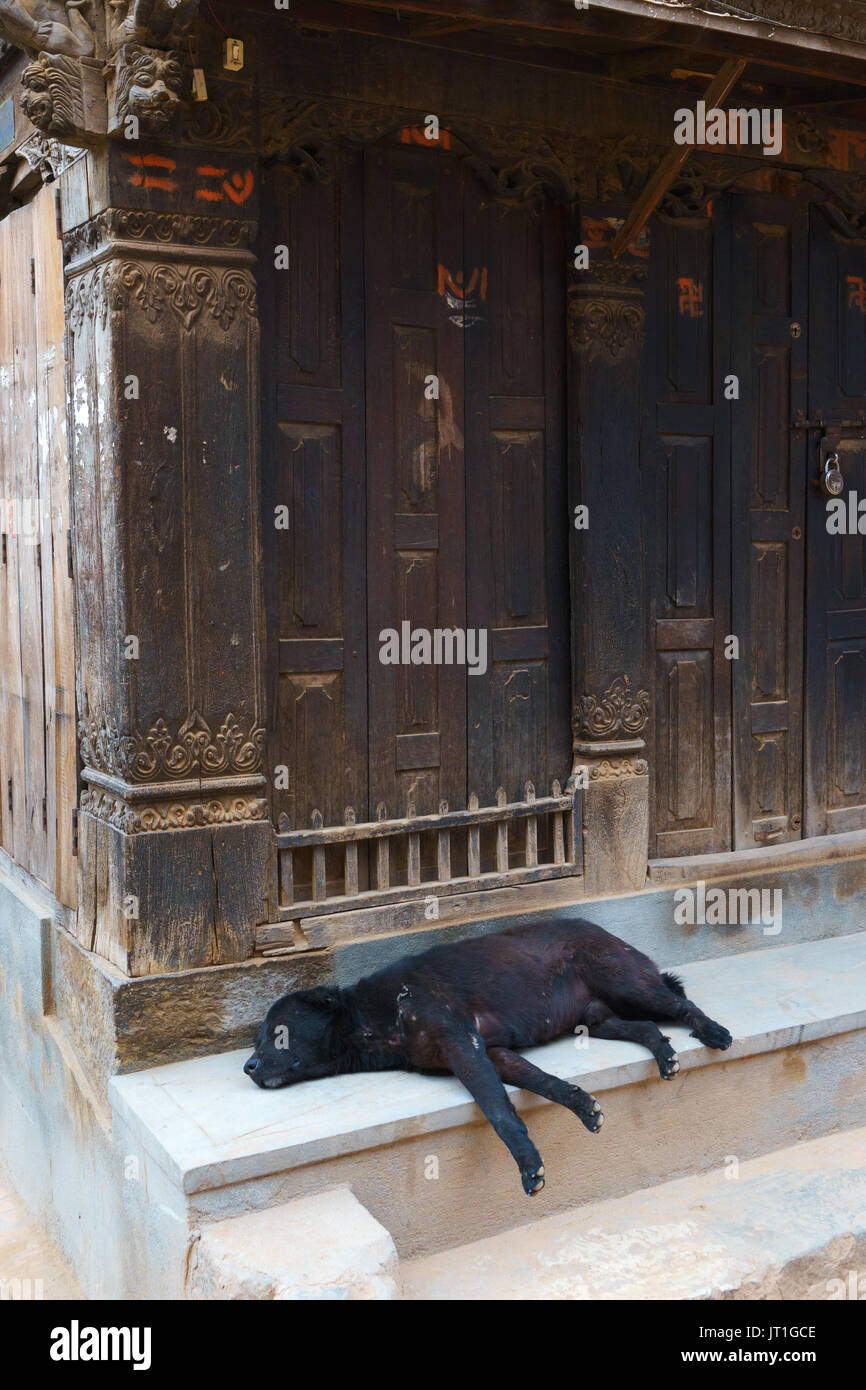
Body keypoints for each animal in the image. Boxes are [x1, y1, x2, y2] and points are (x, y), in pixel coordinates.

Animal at [244, 917, 733, 1200]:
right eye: (258, 1037)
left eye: (277, 1032)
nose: (248, 1067)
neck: (378, 1013)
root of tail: (609, 933)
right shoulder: (493, 1053)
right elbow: (545, 1083)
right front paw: (582, 1106)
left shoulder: (464, 1045)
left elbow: (498, 1111)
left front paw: (529, 1166)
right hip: (598, 1020)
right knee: (647, 1027)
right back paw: (665, 1056)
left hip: (627, 983)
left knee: (681, 1005)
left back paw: (712, 1031)